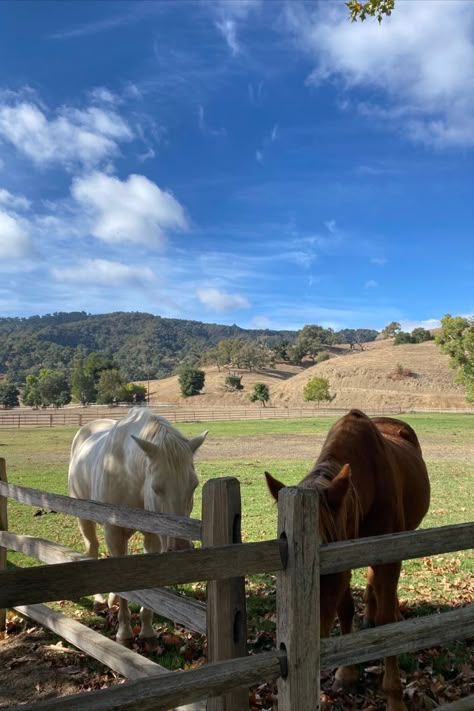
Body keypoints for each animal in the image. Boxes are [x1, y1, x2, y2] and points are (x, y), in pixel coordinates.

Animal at [68, 408, 207, 648]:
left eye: (194, 486)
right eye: (157, 488)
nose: (180, 549)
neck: (127, 472)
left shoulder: (152, 536)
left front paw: (148, 633)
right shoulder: (113, 532)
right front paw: (124, 634)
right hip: (85, 518)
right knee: (92, 549)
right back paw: (100, 600)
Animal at [264, 408, 432, 708]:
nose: (307, 646)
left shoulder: (386, 556)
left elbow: (386, 623)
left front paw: (394, 698)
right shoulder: (344, 552)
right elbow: (345, 609)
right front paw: (346, 672)